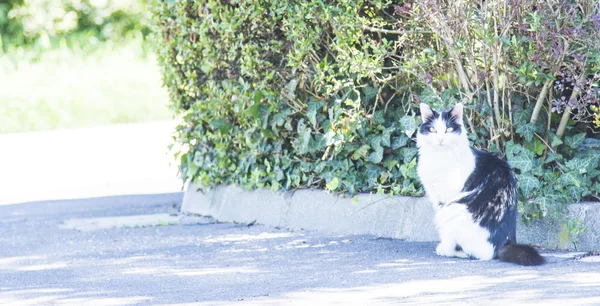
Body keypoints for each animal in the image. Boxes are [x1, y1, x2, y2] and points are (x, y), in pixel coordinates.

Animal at [414, 103, 548, 266]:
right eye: (433, 130)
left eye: (449, 130)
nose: (440, 139)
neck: (440, 157)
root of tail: (504, 244)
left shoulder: (446, 198)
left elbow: (445, 234)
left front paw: (444, 247)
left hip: (453, 210)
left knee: (481, 254)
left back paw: (454, 252)